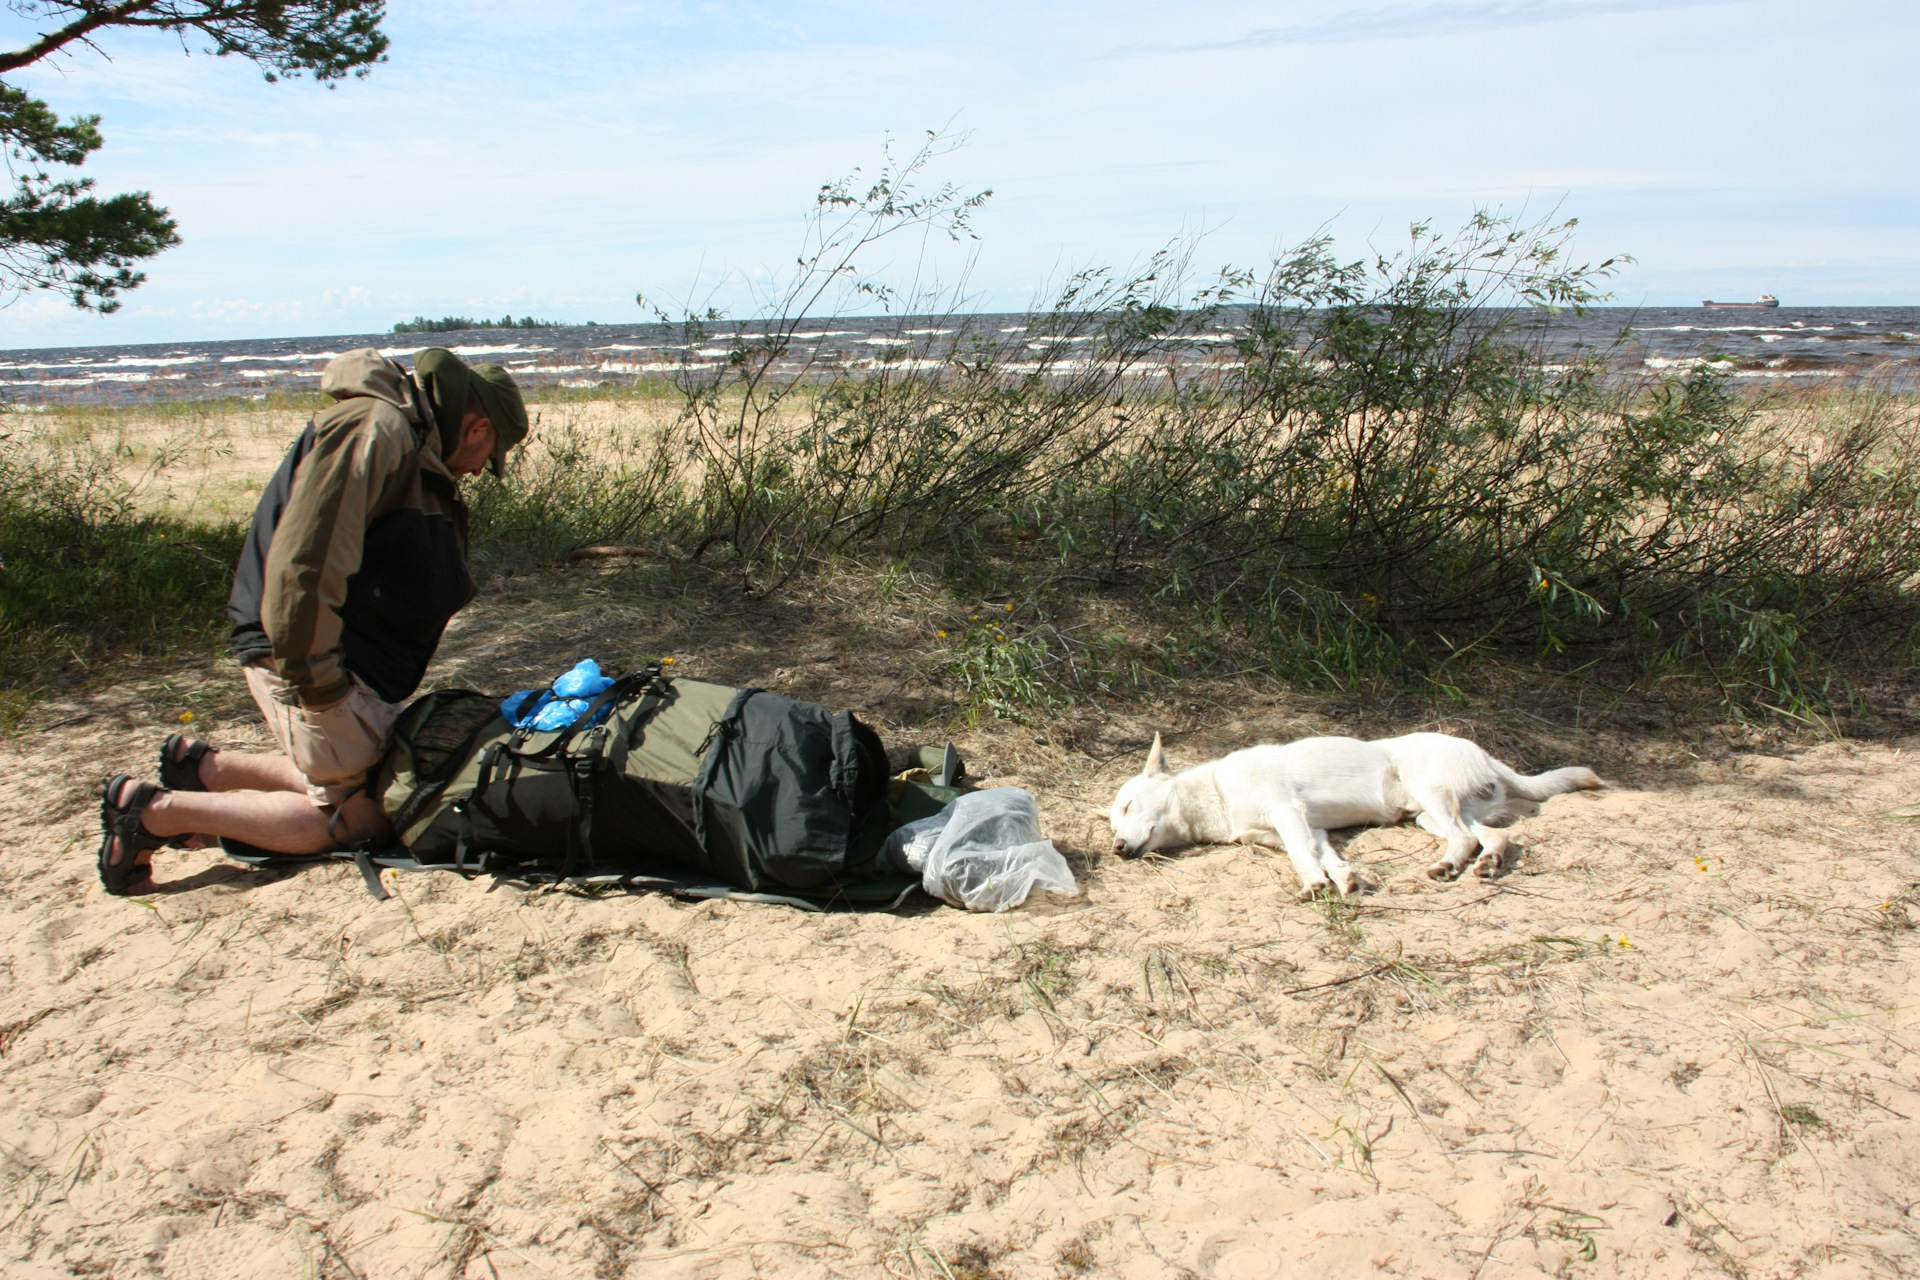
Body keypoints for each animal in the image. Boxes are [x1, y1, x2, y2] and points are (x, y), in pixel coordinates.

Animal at [1105, 729, 1597, 901]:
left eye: (1128, 806)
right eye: (1113, 823)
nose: (1117, 848)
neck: (1218, 795)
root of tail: (1485, 753)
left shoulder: (1289, 812)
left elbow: (1302, 858)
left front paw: (1314, 885)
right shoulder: (1306, 828)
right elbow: (1325, 856)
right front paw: (1344, 880)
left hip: (1429, 793)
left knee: (1465, 837)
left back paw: (1446, 867)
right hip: (1431, 816)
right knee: (1491, 838)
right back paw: (1485, 864)